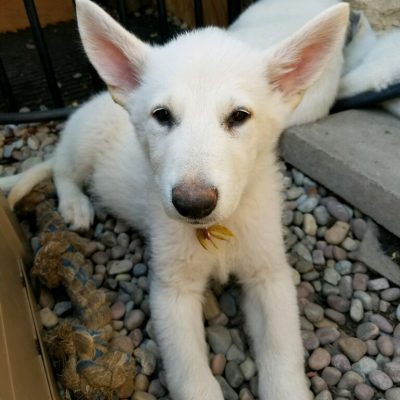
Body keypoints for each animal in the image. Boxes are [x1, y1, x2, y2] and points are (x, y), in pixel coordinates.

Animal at [0, 1, 350, 398]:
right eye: (162, 115)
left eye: (239, 116)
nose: (193, 203)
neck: (218, 230)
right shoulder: (172, 290)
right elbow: (190, 373)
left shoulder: (269, 275)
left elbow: (282, 350)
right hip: (84, 141)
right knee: (62, 170)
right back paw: (75, 205)